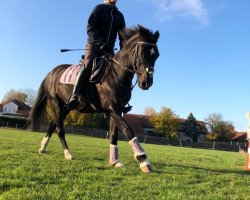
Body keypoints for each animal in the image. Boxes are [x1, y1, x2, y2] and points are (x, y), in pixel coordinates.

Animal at [28, 24, 159, 172]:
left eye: (157, 55)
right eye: (142, 53)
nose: (146, 82)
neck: (115, 74)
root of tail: (51, 73)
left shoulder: (117, 110)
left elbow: (113, 135)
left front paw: (114, 161)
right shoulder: (112, 109)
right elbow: (128, 131)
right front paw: (143, 160)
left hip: (66, 107)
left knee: (52, 125)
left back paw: (42, 148)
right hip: (56, 103)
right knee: (59, 128)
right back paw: (68, 154)